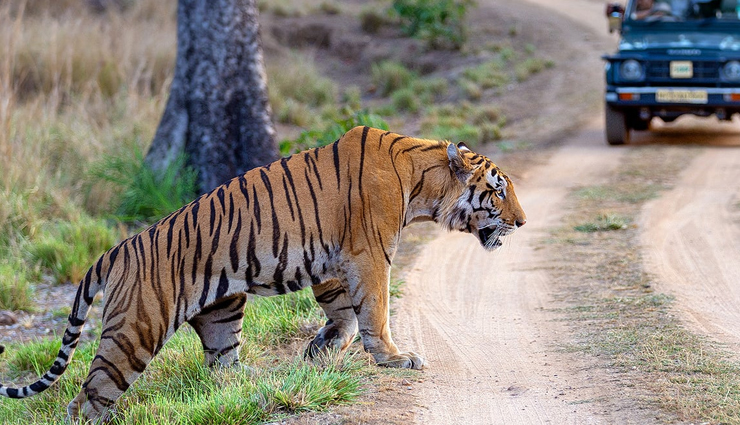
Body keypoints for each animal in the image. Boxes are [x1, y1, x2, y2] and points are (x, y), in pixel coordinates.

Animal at [0, 126, 526, 421]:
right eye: (498, 191)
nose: (522, 223)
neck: (424, 183)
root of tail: (117, 249)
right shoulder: (370, 254)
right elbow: (374, 311)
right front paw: (395, 359)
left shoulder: (335, 261)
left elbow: (346, 314)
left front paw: (320, 350)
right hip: (135, 330)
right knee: (90, 397)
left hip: (221, 310)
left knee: (220, 367)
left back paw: (255, 382)